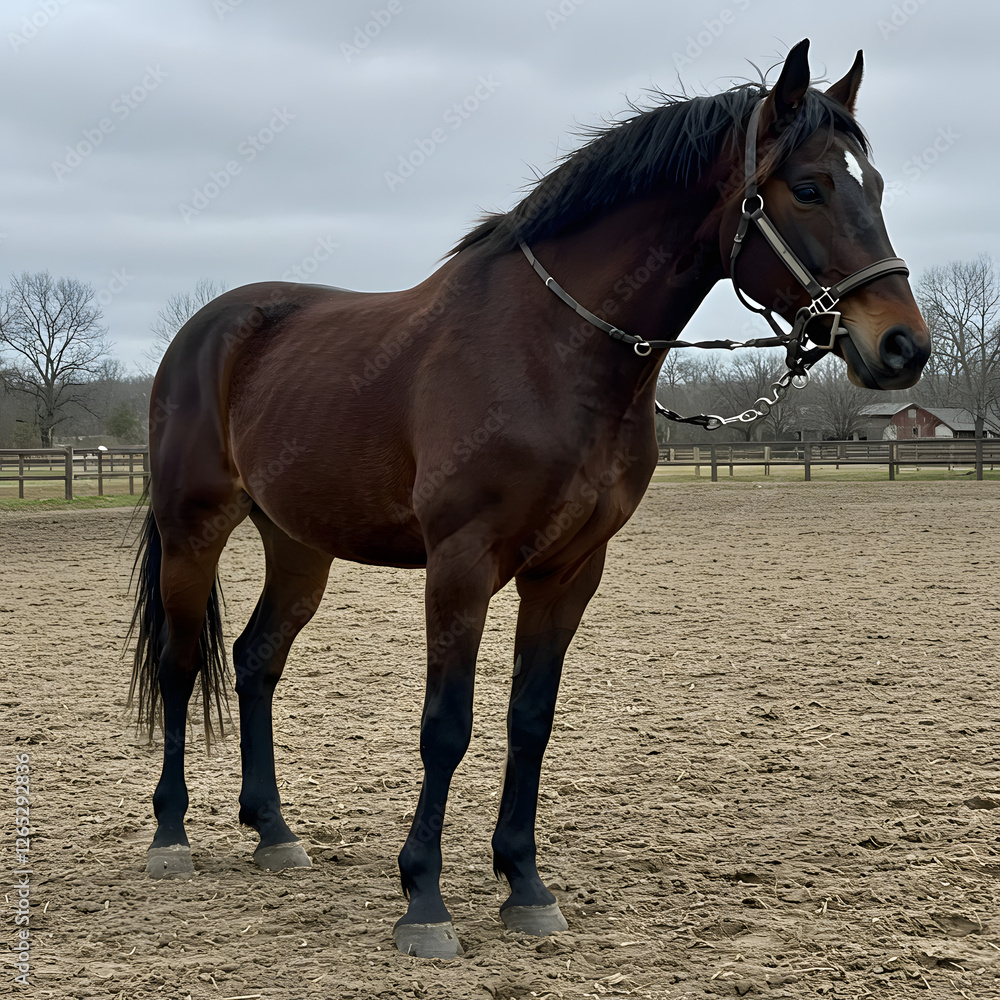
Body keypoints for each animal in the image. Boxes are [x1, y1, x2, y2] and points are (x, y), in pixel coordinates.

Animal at [128, 39, 930, 959]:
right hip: (193, 531)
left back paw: (273, 831)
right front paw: (425, 900)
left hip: (299, 542)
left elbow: (529, 720)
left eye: (875, 185)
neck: (553, 351)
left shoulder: (569, 570)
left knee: (258, 659)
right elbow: (447, 726)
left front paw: (525, 884)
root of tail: (207, 330)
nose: (903, 347)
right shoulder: (462, 564)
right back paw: (170, 837)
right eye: (809, 186)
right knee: (182, 663)